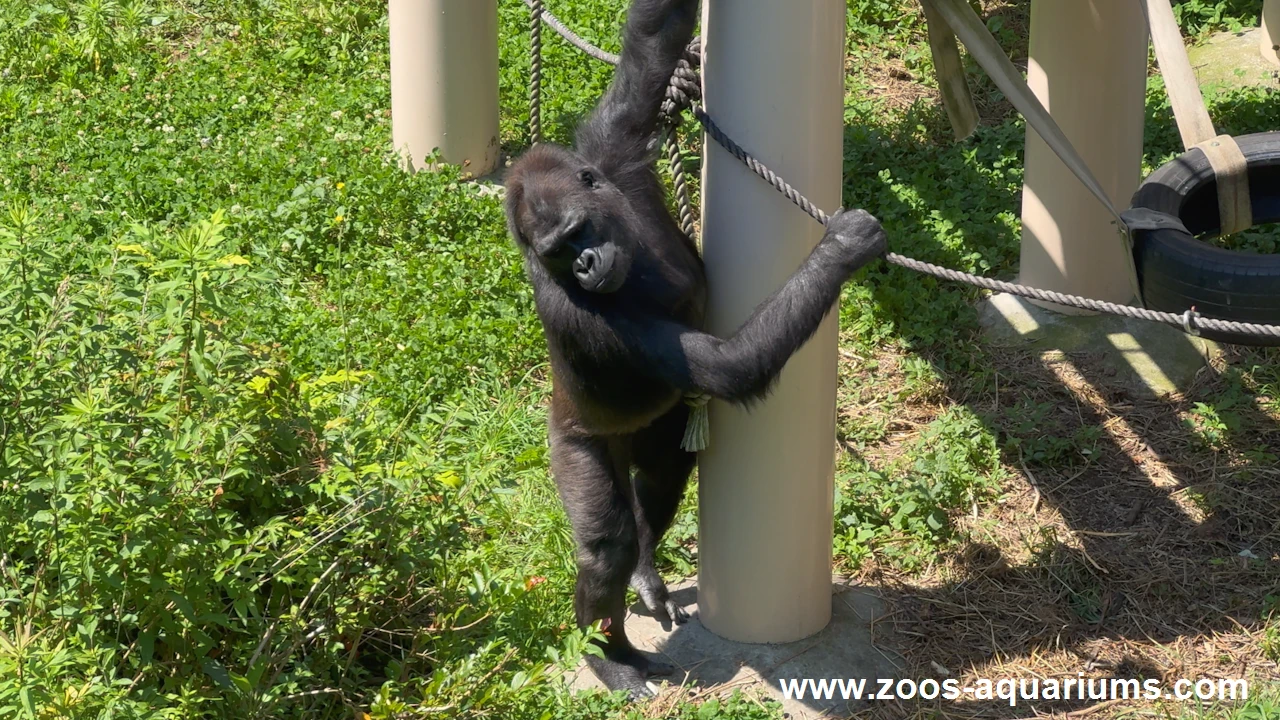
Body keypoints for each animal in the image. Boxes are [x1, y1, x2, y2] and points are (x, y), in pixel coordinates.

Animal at [501, 0, 890, 696]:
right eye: (557, 254)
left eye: (577, 234)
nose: (587, 265)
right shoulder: (588, 314)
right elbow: (727, 367)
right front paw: (843, 247)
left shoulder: (612, 149)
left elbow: (653, 43)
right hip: (574, 438)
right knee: (605, 546)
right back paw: (610, 654)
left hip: (657, 431)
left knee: (660, 477)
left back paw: (644, 572)